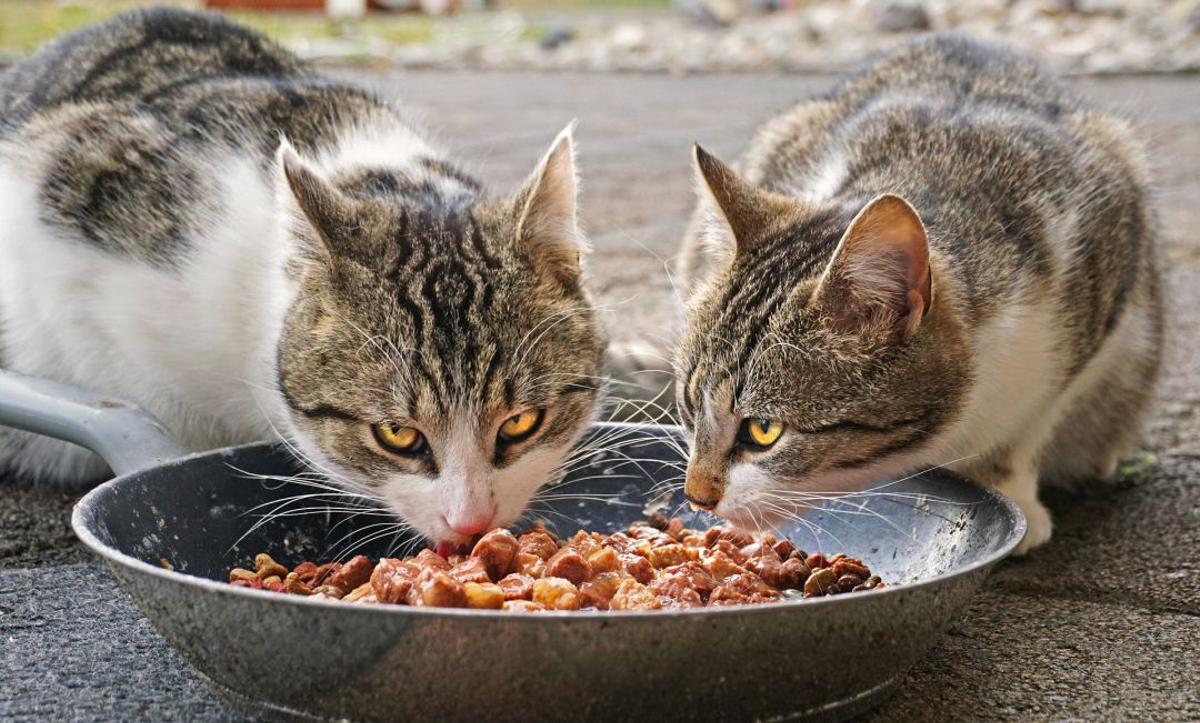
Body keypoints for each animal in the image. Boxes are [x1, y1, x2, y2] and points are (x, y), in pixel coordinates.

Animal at [676, 33, 1161, 552]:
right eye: (689, 406)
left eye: (764, 430)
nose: (696, 496)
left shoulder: (1106, 262)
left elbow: (1029, 425)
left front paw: (1010, 489)